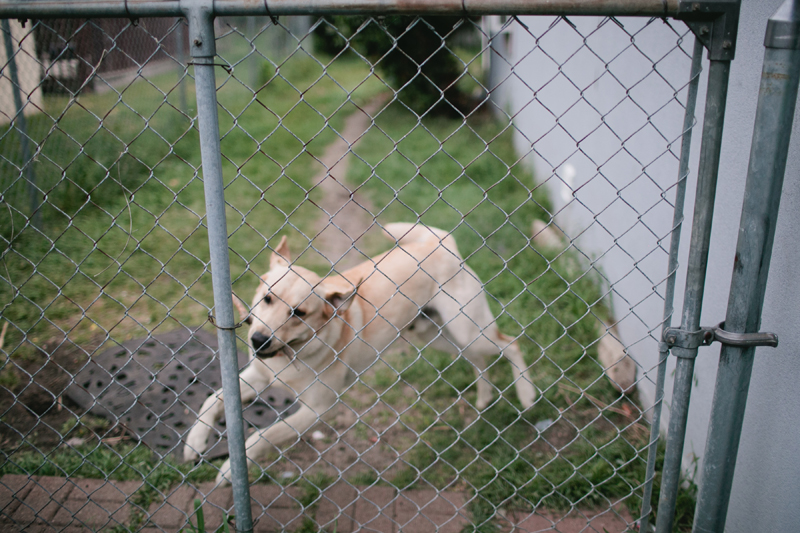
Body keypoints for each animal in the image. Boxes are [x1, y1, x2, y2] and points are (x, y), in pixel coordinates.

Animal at [185, 222, 536, 484]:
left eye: (298, 313)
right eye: (267, 298)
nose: (258, 340)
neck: (293, 355)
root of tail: (439, 243)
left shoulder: (316, 412)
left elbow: (262, 437)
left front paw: (230, 471)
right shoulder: (255, 378)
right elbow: (211, 400)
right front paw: (194, 443)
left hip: (469, 329)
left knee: (512, 344)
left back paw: (527, 394)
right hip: (437, 335)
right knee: (478, 360)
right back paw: (484, 397)